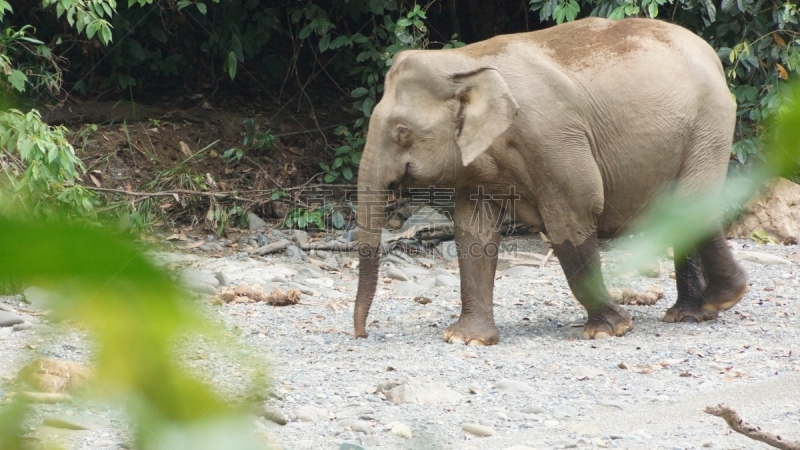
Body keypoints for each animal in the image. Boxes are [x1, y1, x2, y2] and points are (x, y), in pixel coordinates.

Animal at [354, 16, 748, 344]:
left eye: (402, 132)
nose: (361, 334)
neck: (464, 61)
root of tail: (711, 54)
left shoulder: (554, 138)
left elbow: (572, 216)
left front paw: (610, 330)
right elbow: (474, 232)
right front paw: (466, 339)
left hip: (709, 123)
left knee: (692, 203)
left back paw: (722, 299)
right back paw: (689, 314)